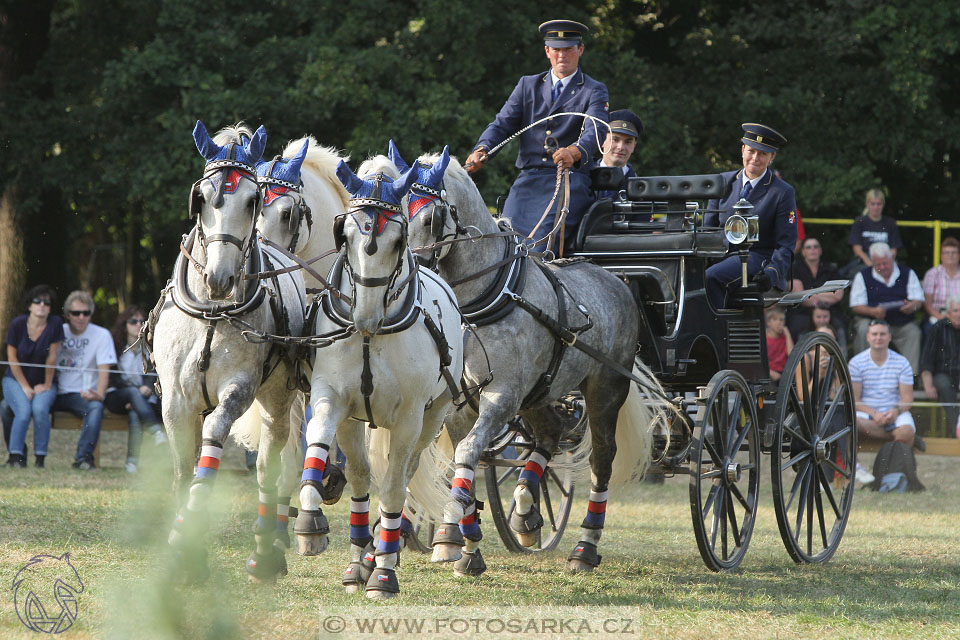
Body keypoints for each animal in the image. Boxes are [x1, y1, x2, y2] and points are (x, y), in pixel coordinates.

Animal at [151, 121, 308, 584]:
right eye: (202, 198)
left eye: (252, 200)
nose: (220, 279)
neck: (213, 311)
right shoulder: (175, 401)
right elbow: (184, 467)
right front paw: (186, 551)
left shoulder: (238, 389)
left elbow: (214, 437)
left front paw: (185, 542)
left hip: (277, 400)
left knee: (270, 465)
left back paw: (265, 555)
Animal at [296, 151, 464, 600]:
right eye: (346, 235)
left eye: (397, 241)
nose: (365, 318)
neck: (373, 335)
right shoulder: (332, 398)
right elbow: (319, 444)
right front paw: (310, 523)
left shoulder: (409, 417)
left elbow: (391, 488)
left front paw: (384, 574)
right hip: (358, 421)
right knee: (360, 475)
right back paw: (361, 559)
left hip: (433, 416)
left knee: (401, 476)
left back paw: (383, 553)